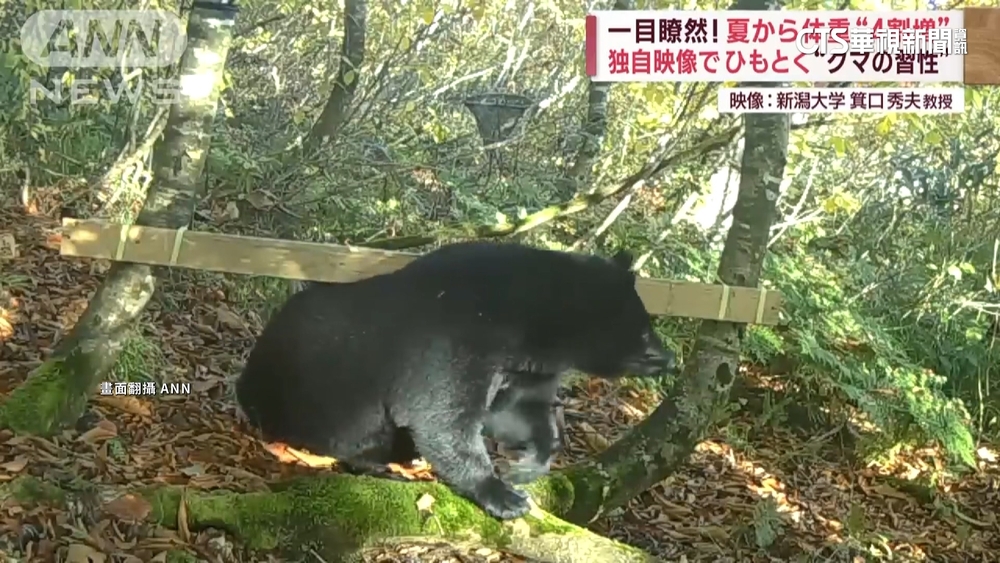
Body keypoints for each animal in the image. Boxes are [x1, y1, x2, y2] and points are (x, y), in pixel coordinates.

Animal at [236, 241, 676, 520]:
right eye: (643, 331)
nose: (668, 358)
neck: (529, 322)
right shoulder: (456, 337)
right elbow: (442, 414)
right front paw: (502, 494)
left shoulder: (526, 366)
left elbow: (518, 410)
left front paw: (526, 465)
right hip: (320, 394)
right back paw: (379, 464)